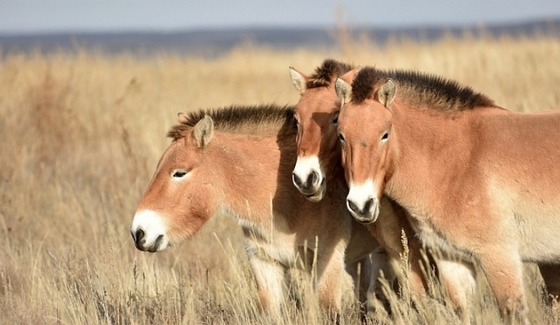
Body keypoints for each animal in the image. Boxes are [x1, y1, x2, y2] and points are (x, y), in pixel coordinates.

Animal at [332, 67, 560, 322]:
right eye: (341, 135)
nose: (361, 205)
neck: (459, 162)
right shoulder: (452, 259)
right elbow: (462, 311)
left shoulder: (500, 257)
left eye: (384, 134)